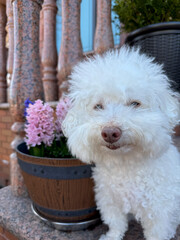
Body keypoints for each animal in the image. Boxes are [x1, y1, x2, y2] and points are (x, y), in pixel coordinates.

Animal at [62, 47, 180, 240]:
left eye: (135, 103)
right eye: (98, 106)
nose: (110, 132)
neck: (125, 164)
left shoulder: (158, 211)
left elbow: (157, 232)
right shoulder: (109, 200)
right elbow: (116, 223)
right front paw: (112, 236)